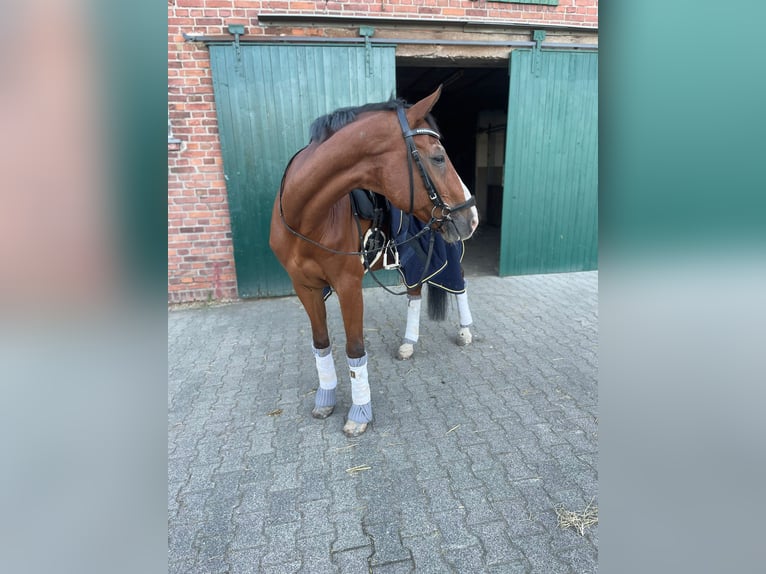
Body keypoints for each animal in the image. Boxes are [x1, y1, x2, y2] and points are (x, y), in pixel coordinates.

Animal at [268, 85, 476, 438]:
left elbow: (354, 348)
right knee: (415, 292)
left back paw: (464, 331)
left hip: (445, 245)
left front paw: (359, 413)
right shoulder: (305, 287)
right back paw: (408, 343)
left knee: (457, 282)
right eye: (438, 158)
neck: (307, 217)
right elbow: (321, 342)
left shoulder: (349, 286)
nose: (471, 216)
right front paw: (325, 398)